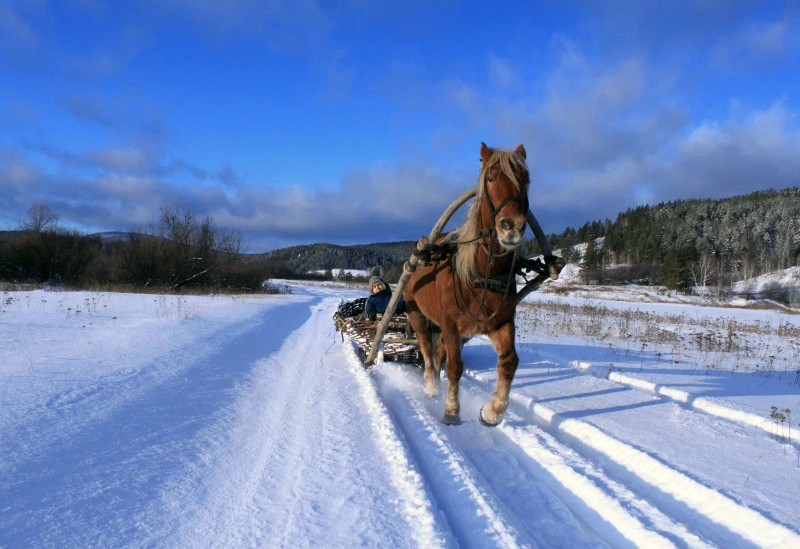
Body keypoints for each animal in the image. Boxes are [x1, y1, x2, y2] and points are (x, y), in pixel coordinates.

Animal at [406, 141, 532, 424]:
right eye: (491, 178)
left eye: (526, 179)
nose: (512, 227)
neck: (482, 275)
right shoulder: (451, 324)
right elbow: (454, 367)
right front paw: (452, 410)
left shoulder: (501, 322)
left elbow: (509, 361)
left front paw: (493, 411)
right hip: (415, 311)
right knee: (426, 347)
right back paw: (431, 385)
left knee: (437, 351)